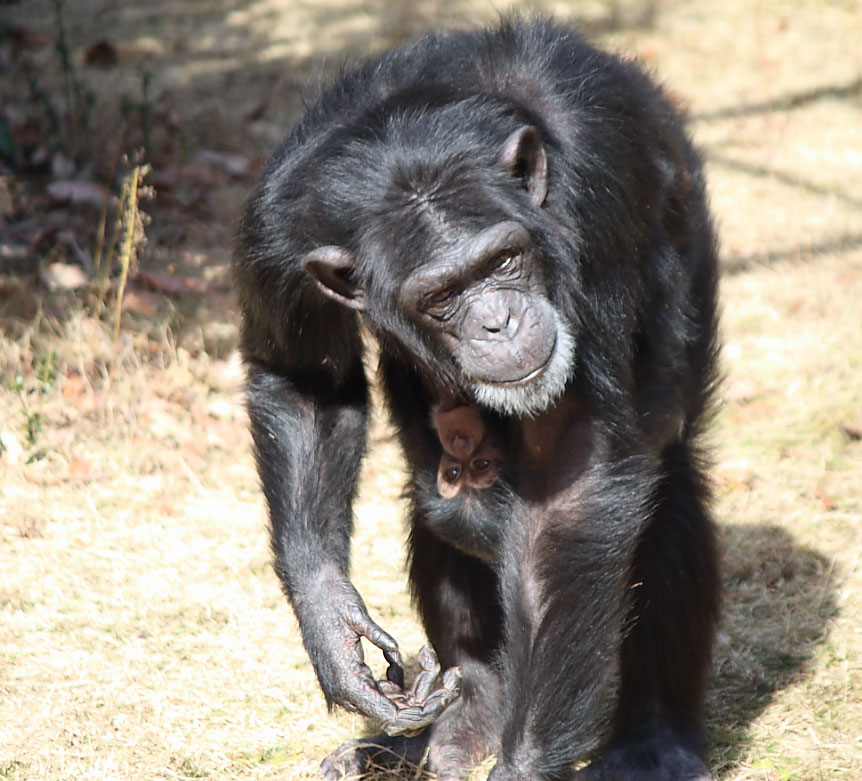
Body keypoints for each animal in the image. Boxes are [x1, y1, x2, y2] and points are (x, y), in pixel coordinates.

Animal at [235, 15, 724, 776]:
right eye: (441, 297)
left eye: (504, 260)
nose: (498, 322)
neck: (401, 147)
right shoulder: (275, 235)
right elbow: (303, 379)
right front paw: (334, 629)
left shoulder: (593, 200)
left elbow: (569, 480)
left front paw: (525, 764)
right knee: (442, 499)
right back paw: (461, 721)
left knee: (667, 483)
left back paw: (653, 739)